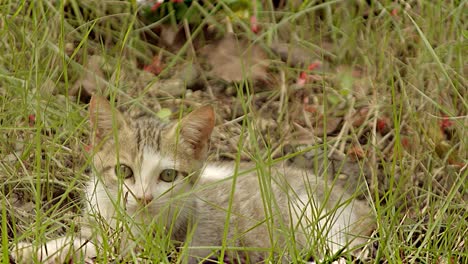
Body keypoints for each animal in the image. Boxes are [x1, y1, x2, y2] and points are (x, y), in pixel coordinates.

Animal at [12, 96, 374, 262]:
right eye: (124, 170)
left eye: (168, 175)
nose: (143, 198)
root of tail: (359, 206)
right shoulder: (100, 222)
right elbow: (83, 239)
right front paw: (31, 249)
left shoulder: (173, 239)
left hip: (320, 221)